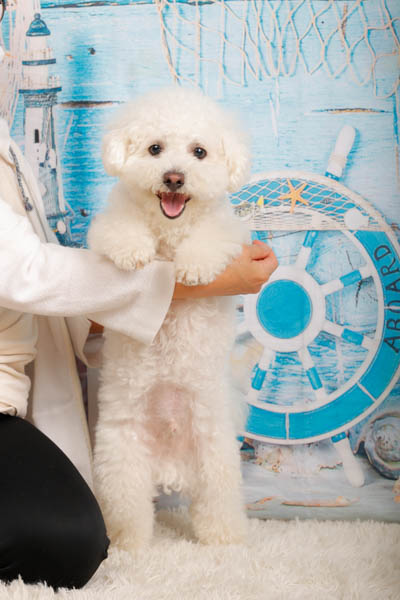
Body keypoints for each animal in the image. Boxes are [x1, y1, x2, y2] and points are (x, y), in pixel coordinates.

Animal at [88, 87, 251, 553]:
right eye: (154, 149)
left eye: (200, 152)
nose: (175, 178)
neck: (169, 229)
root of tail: (171, 468)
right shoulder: (108, 228)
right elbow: (120, 230)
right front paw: (132, 251)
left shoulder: (229, 235)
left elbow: (210, 239)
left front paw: (193, 266)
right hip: (120, 452)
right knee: (129, 507)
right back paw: (129, 543)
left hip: (214, 448)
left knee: (217, 501)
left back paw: (225, 538)